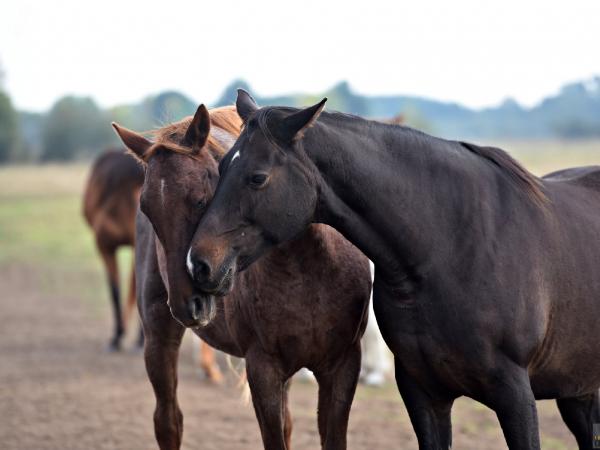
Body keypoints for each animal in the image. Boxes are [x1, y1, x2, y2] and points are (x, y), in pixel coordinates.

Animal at [190, 89, 600, 448]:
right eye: (222, 165)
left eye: (257, 177)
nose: (199, 263)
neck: (450, 249)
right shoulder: (423, 392)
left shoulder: (515, 395)